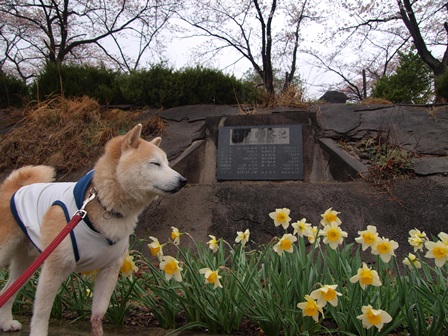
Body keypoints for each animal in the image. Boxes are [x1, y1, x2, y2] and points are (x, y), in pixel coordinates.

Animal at [0, 124, 186, 336]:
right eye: (155, 163)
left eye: (167, 163)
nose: (183, 180)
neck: (104, 206)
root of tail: (14, 188)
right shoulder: (54, 268)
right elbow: (41, 314)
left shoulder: (110, 270)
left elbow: (98, 314)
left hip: (27, 263)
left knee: (7, 291)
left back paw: (6, 322)